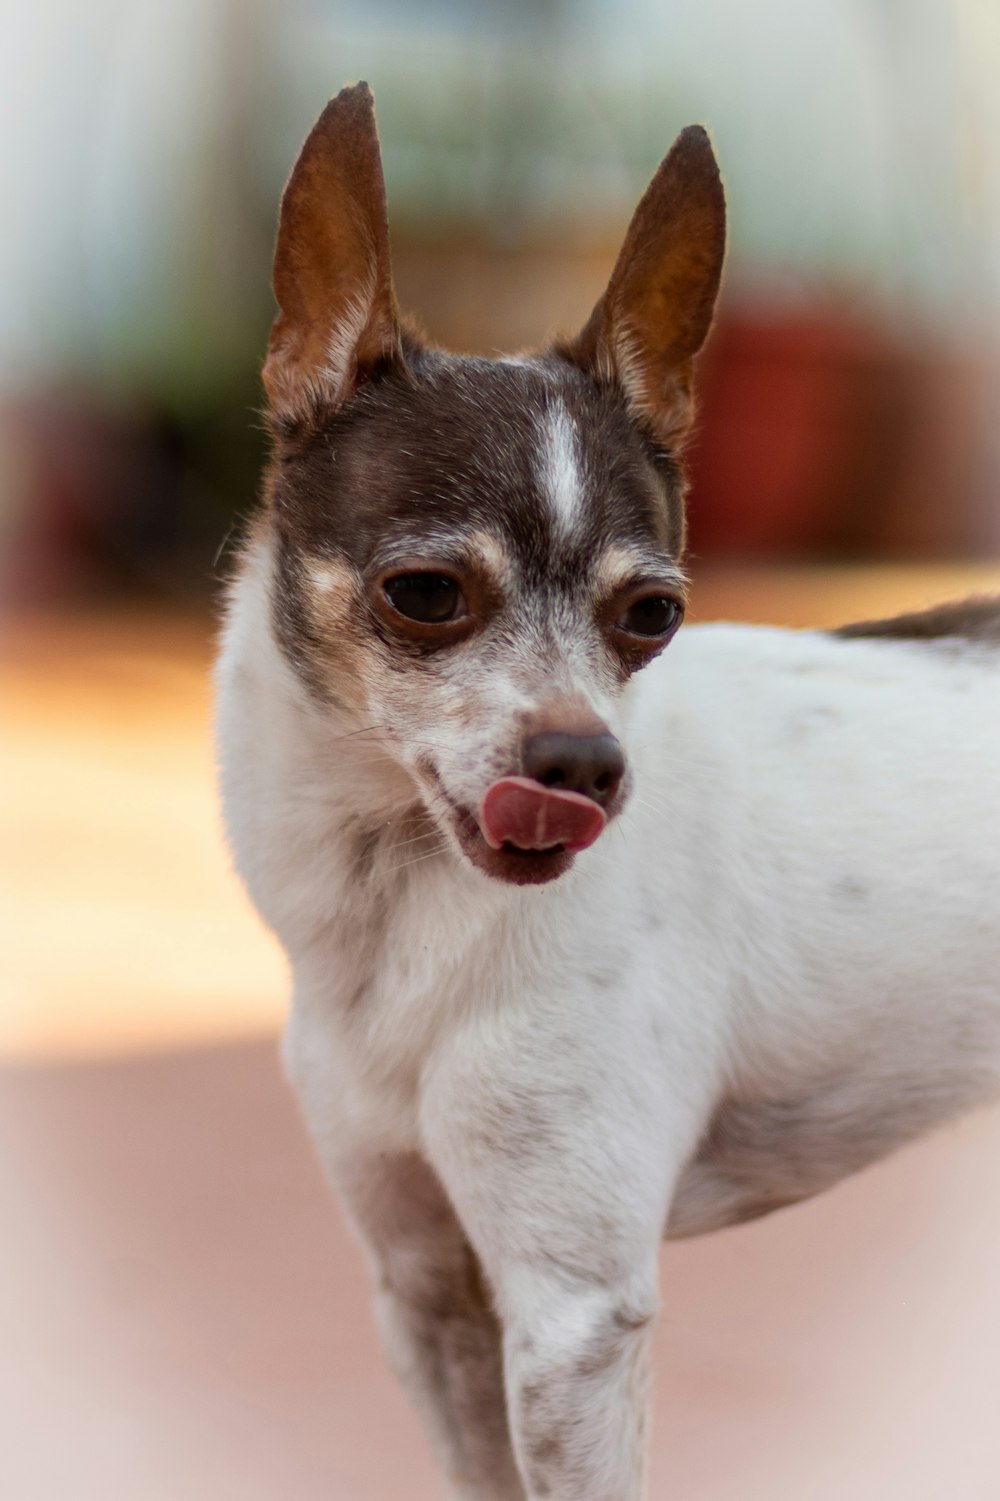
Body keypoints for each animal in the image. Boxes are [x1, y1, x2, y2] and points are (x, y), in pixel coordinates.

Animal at [216, 82, 996, 1501]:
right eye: (425, 594)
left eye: (652, 615)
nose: (584, 766)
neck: (398, 913)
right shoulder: (431, 1297)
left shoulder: (569, 1319)